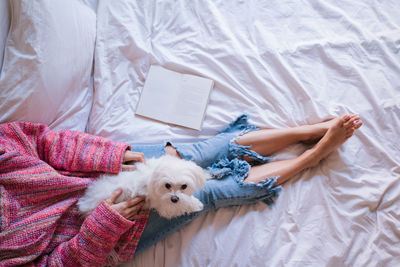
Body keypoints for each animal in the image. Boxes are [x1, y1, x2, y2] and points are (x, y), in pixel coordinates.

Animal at [78, 155, 209, 220]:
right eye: (167, 185)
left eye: (184, 186)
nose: (174, 199)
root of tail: (86, 203)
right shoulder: (165, 206)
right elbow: (182, 206)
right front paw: (197, 204)